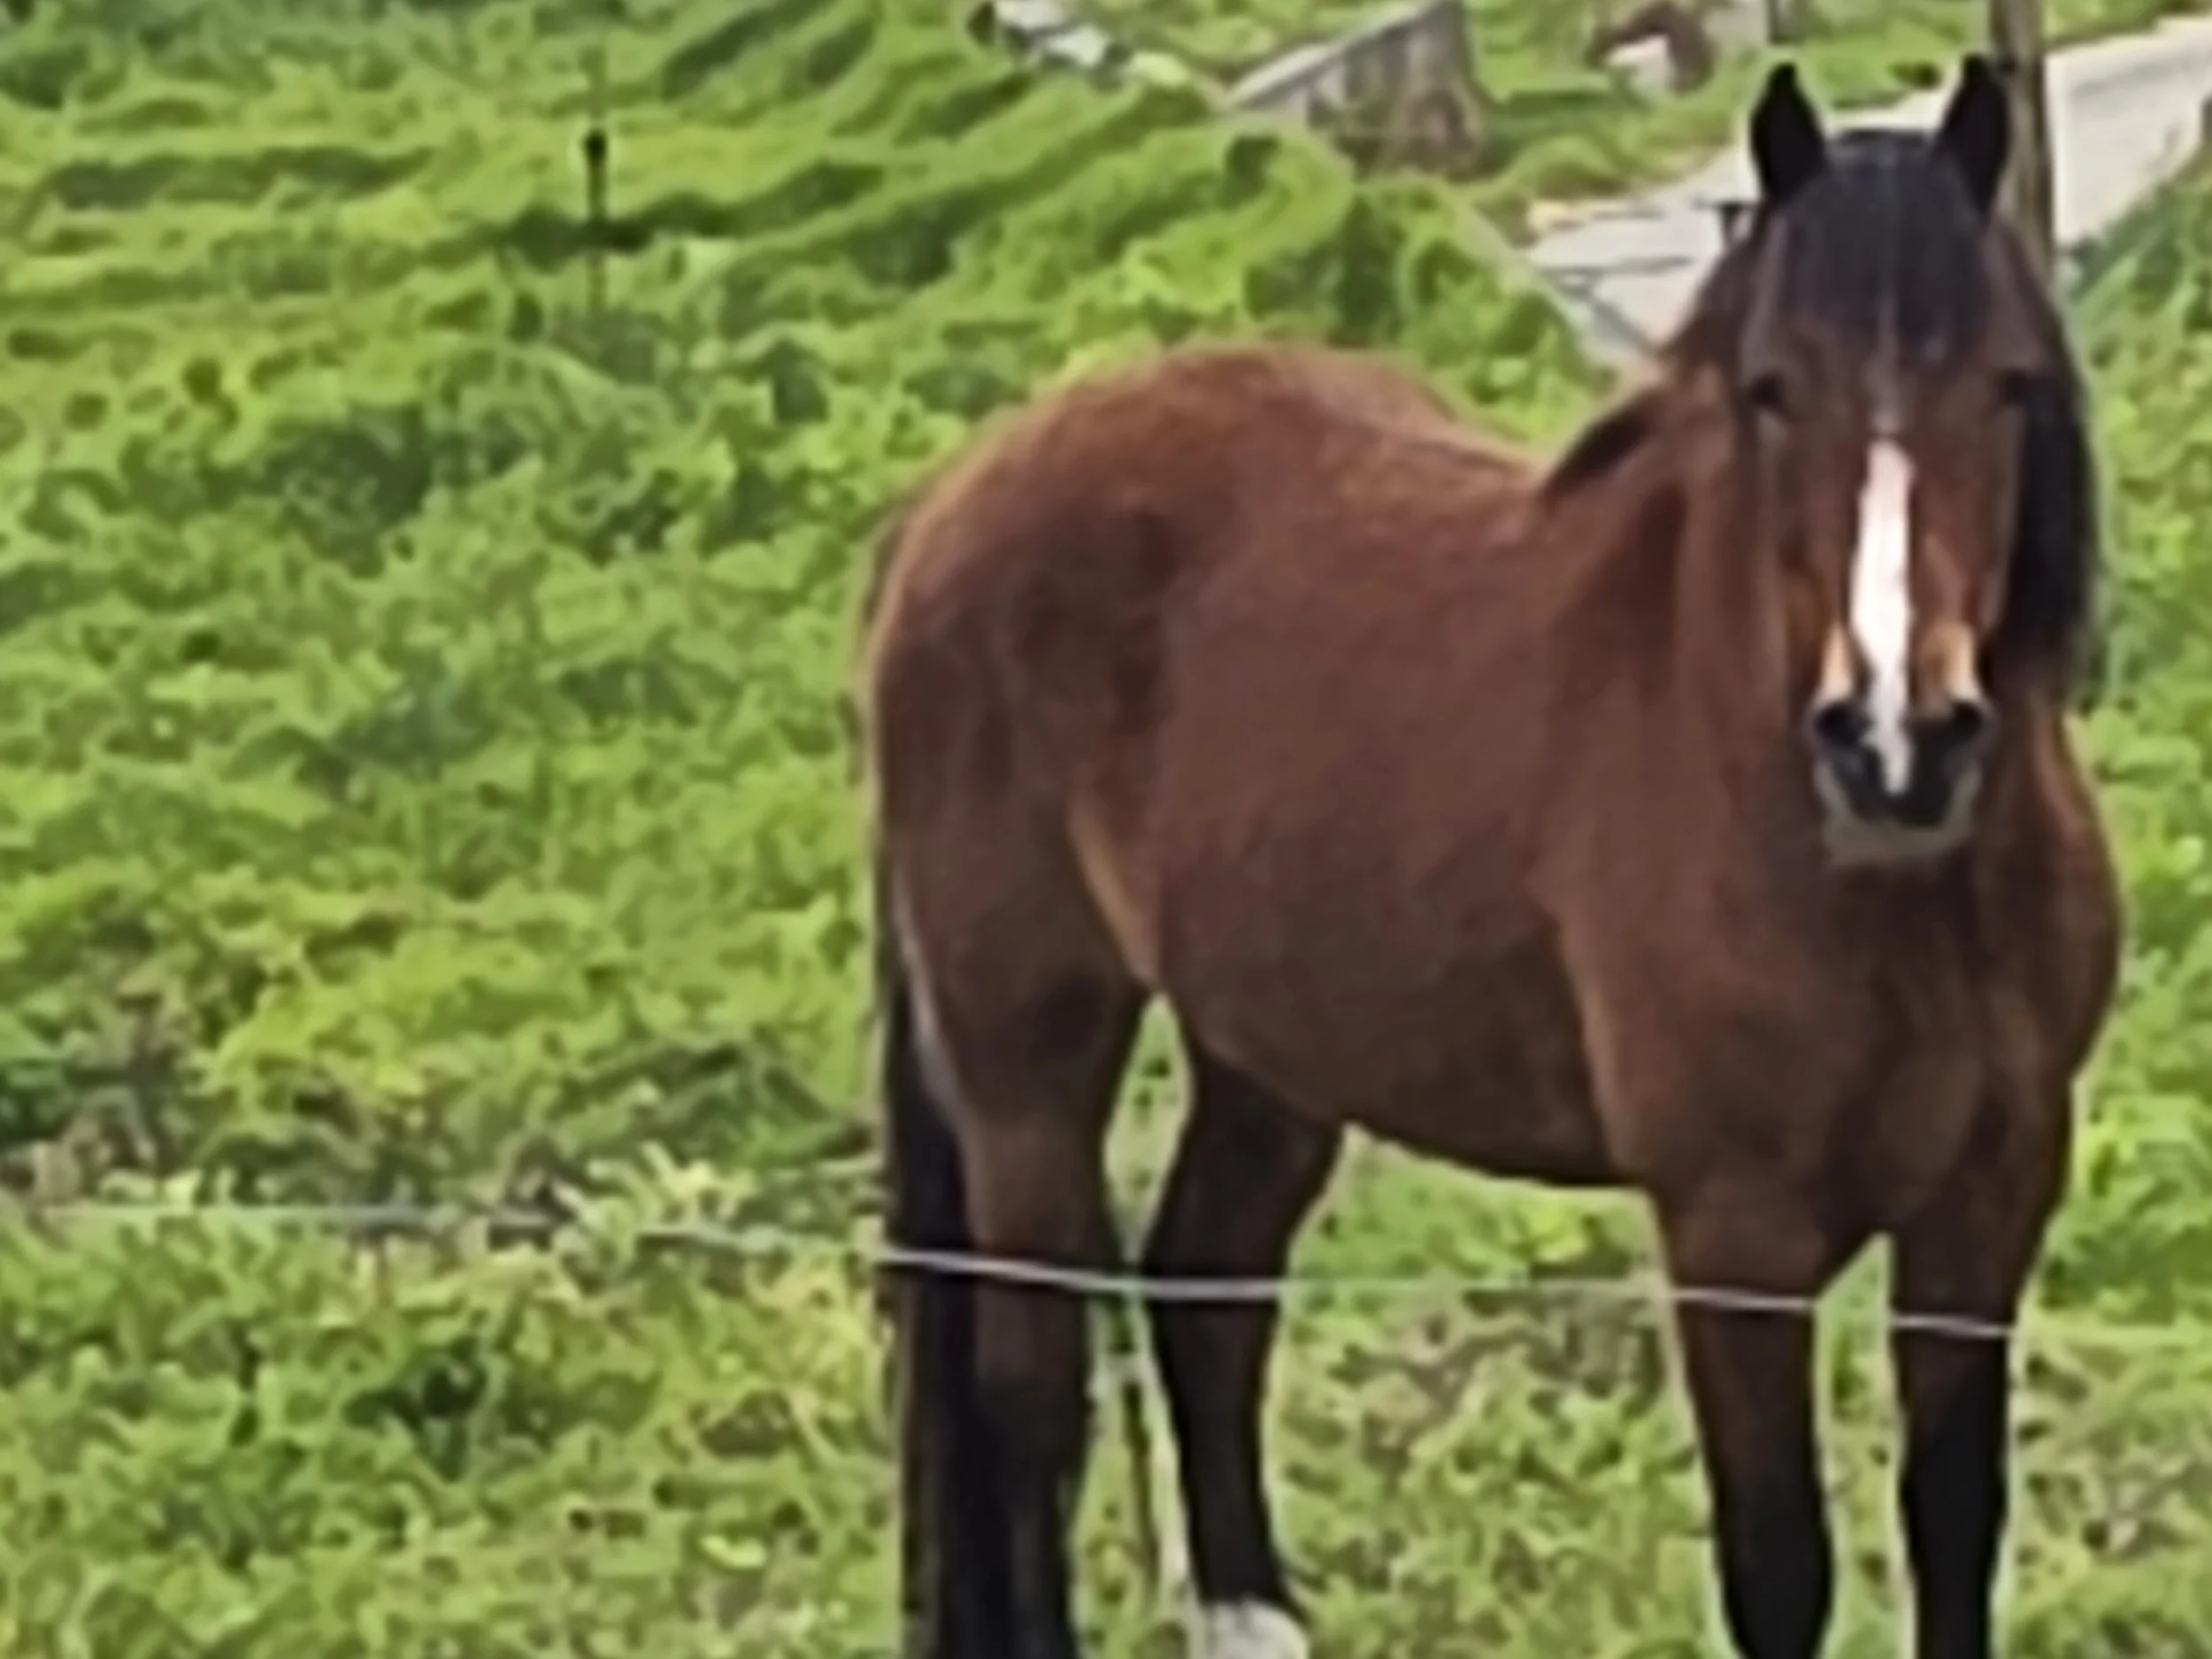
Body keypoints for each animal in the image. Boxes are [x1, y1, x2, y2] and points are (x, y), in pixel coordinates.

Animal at [859, 55, 2121, 1659]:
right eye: (1773, 392)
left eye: (2007, 382)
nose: (1899, 742)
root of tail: (951, 499)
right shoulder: (1736, 1235)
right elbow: (1781, 1570)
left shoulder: (1989, 1200)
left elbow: (1955, 1527)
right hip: (1028, 1071)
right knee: (1033, 1397)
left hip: (1271, 1052)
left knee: (1205, 1293)